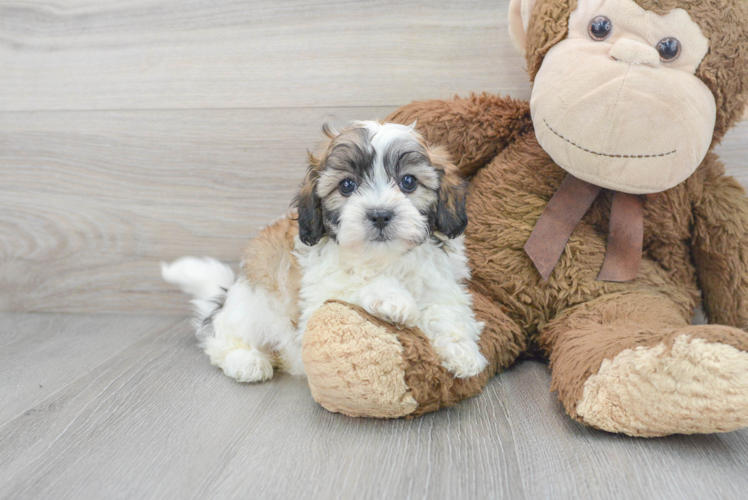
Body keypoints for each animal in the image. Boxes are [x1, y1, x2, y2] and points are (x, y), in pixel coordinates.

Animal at [164, 121, 488, 382]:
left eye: (408, 182)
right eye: (347, 185)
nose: (380, 215)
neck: (384, 258)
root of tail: (225, 299)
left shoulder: (441, 282)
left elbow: (447, 310)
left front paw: (463, 353)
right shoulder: (317, 300)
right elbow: (352, 286)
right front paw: (393, 300)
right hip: (251, 305)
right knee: (221, 341)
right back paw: (246, 361)